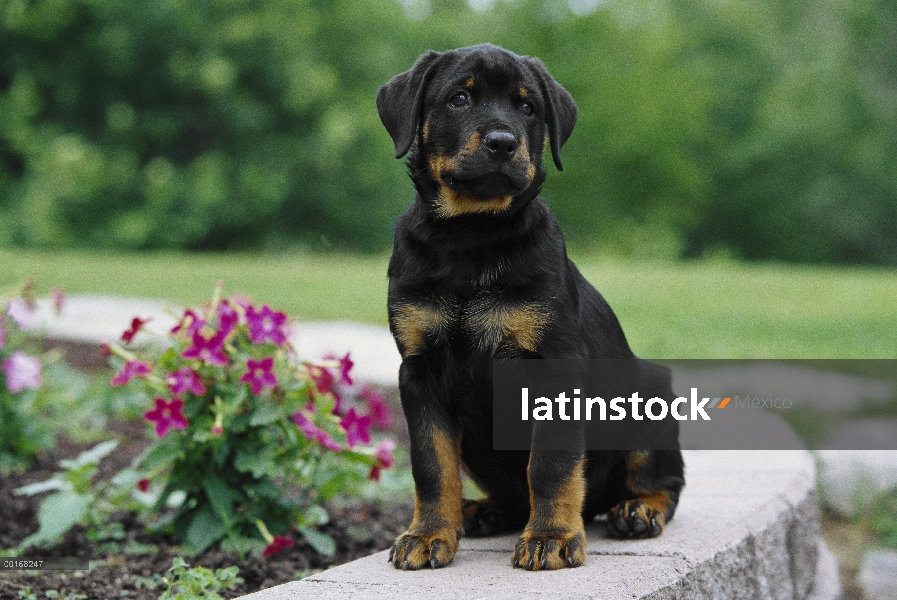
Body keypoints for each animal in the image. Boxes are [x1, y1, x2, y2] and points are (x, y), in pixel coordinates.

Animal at [374, 44, 684, 568]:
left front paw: (551, 537)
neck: (472, 237)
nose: (503, 142)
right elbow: (432, 465)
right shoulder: (419, 370)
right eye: (459, 98)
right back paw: (480, 511)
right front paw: (429, 534)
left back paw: (638, 510)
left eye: (527, 107)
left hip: (651, 397)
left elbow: (551, 464)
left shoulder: (554, 365)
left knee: (664, 481)